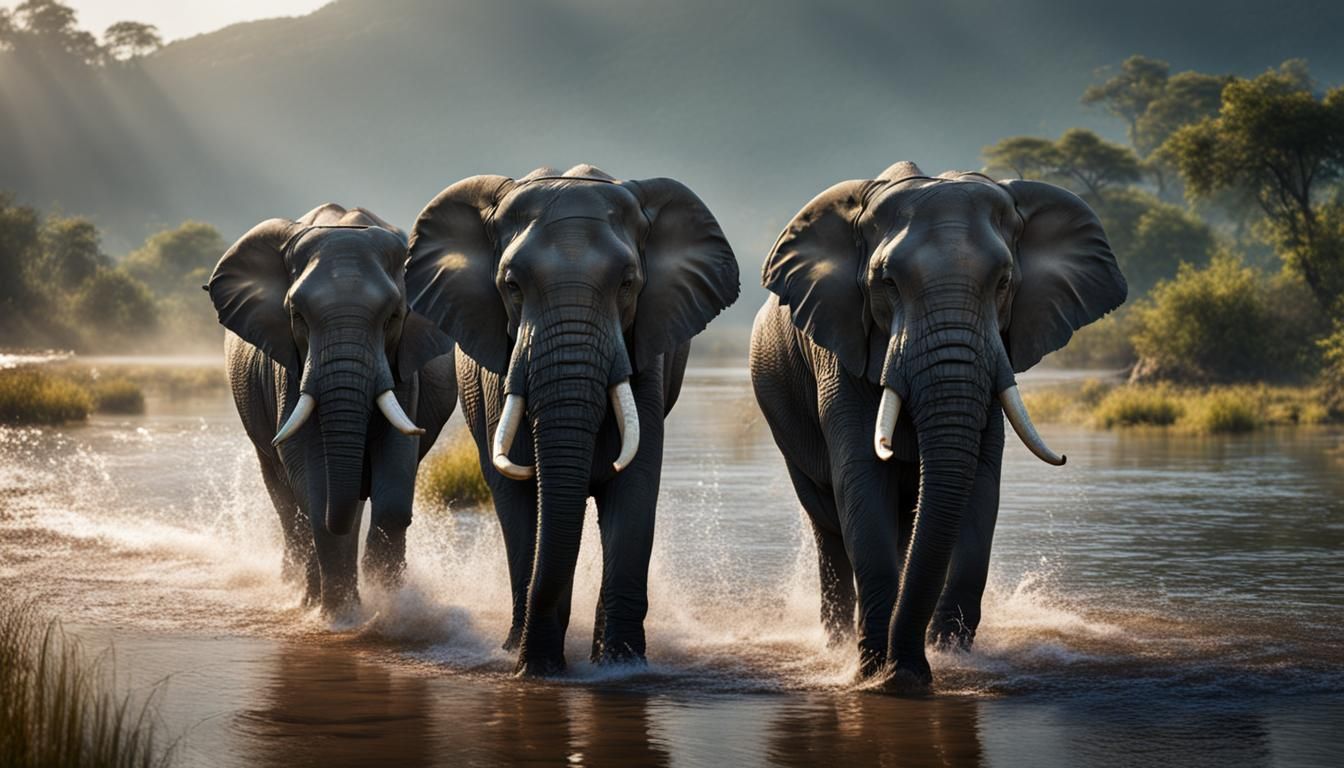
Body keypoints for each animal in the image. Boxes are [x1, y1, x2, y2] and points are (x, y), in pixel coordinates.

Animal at [208, 203, 456, 614]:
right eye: (297, 316)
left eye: (393, 317)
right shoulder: (288, 365)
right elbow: (312, 478)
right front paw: (340, 614)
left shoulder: (403, 365)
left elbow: (394, 480)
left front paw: (389, 604)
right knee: (286, 499)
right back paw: (301, 592)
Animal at [405, 165, 739, 674]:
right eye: (512, 285)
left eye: (627, 283)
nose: (539, 662)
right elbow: (520, 500)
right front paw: (535, 667)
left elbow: (635, 484)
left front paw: (620, 668)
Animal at [749, 162, 1126, 690]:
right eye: (887, 282)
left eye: (1004, 282)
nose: (904, 673)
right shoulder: (840, 350)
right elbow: (862, 482)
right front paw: (880, 675)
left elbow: (979, 487)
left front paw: (943, 661)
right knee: (827, 520)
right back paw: (837, 644)